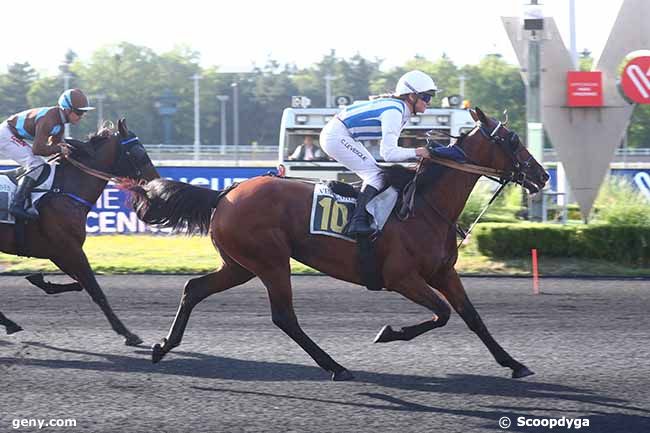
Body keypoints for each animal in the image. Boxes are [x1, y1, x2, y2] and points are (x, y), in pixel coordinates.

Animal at [0, 119, 159, 344]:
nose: (157, 182)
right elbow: (95, 290)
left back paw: (9, 322)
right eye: (139, 152)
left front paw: (40, 280)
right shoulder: (70, 249)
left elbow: (80, 284)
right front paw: (127, 333)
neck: (65, 190)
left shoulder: (59, 252)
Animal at [125, 108, 548, 378]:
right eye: (512, 139)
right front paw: (388, 333)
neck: (426, 206)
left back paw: (163, 346)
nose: (542, 175)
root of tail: (224, 194)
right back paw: (335, 366)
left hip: (241, 264)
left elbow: (472, 317)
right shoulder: (401, 278)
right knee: (284, 317)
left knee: (194, 289)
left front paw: (515, 364)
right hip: (271, 262)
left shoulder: (443, 272)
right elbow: (442, 314)